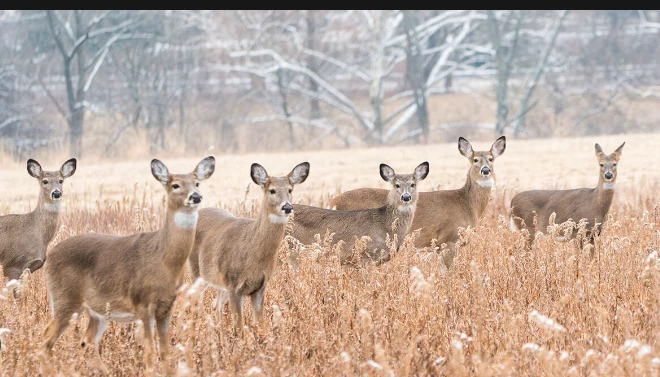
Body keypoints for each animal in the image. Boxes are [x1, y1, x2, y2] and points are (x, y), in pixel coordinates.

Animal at [40, 155, 214, 374]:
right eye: (175, 185)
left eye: (197, 183)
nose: (196, 196)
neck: (164, 259)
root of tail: (50, 255)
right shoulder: (143, 303)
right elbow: (150, 352)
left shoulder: (166, 306)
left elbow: (165, 352)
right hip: (65, 299)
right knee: (46, 339)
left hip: (97, 311)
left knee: (86, 342)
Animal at [186, 162, 310, 334]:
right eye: (272, 190)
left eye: (290, 189)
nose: (287, 207)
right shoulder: (233, 284)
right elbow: (239, 326)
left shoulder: (260, 287)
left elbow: (260, 324)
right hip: (196, 271)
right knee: (194, 301)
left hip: (218, 280)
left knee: (215, 304)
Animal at [330, 136, 506, 268]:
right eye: (475, 160)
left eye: (491, 159)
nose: (485, 170)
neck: (467, 203)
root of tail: (334, 201)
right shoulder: (449, 238)